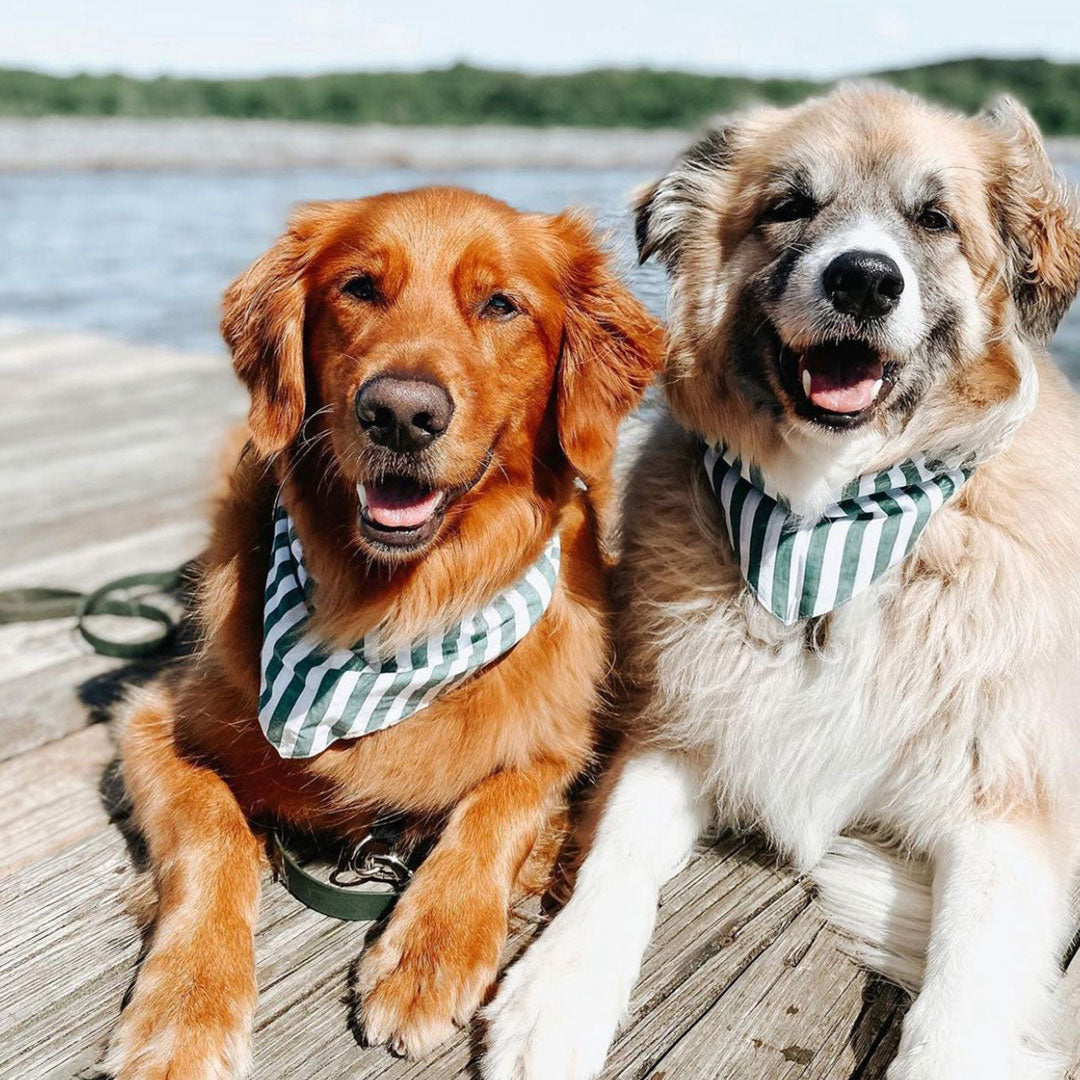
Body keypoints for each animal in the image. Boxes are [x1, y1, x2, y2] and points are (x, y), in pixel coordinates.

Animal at [486, 86, 1080, 1080]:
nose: (864, 281)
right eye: (790, 206)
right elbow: (616, 862)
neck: (824, 532)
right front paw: (557, 991)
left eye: (935, 219)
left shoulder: (1009, 808)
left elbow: (959, 1004)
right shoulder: (678, 728)